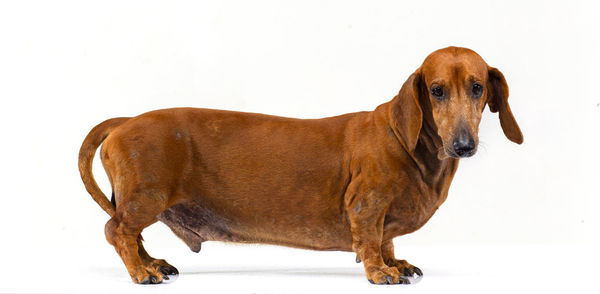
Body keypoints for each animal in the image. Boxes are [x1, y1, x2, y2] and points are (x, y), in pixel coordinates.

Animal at [78, 46, 520, 284]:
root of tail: (126, 121)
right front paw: (381, 271)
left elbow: (387, 240)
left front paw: (396, 262)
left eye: (478, 87)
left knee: (132, 235)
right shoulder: (367, 206)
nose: (463, 145)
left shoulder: (385, 218)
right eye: (436, 90)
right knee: (117, 230)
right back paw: (141, 272)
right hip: (146, 197)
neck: (408, 143)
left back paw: (152, 262)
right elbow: (370, 241)